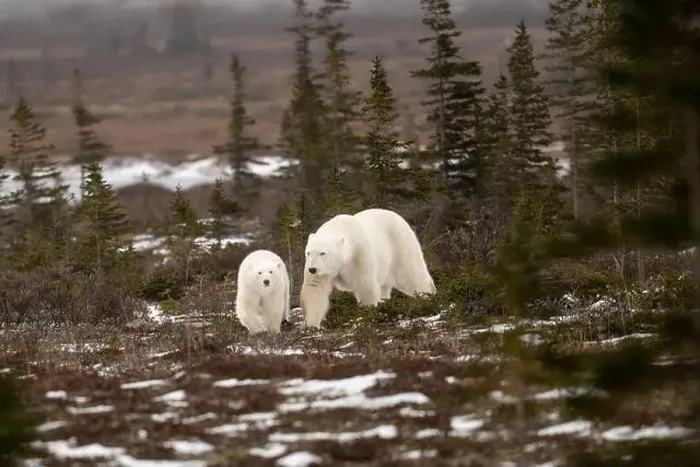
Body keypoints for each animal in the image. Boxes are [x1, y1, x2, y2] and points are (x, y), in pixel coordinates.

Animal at [300, 208, 436, 329]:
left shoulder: (359, 254)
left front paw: (368, 313)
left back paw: (428, 295)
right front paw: (312, 325)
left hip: (400, 243)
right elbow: (315, 288)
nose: (312, 269)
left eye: (322, 253)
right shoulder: (323, 271)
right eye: (308, 252)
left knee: (410, 273)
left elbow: (365, 284)